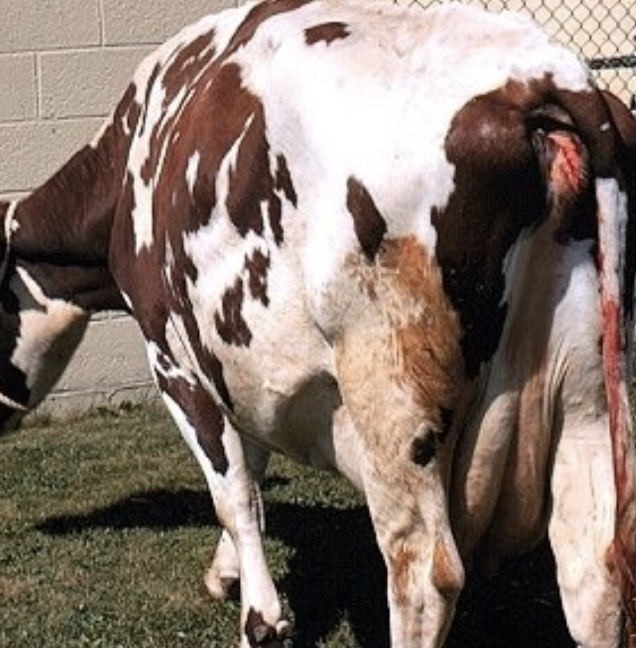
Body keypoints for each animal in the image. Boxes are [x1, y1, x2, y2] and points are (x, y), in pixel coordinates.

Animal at [0, 0, 635, 646]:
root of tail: (546, 80)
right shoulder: (236, 363)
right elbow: (253, 472)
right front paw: (227, 573)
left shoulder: (173, 358)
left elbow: (232, 489)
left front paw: (260, 618)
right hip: (587, 394)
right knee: (594, 570)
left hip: (393, 400)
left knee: (423, 575)